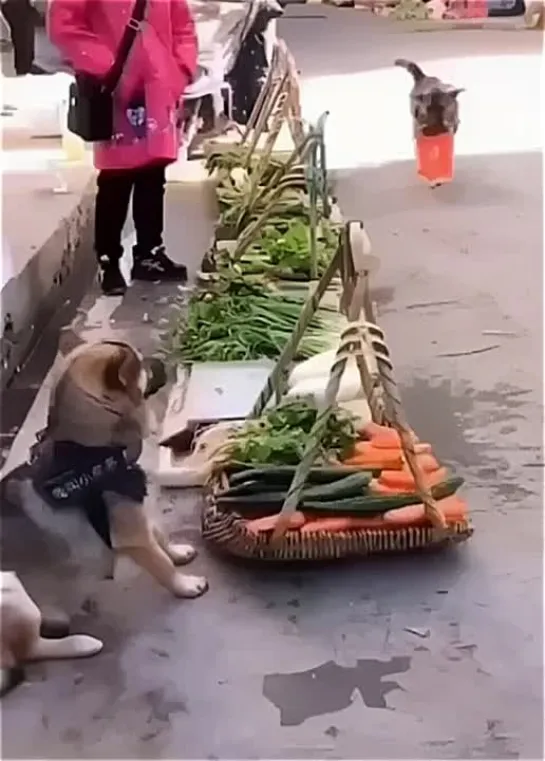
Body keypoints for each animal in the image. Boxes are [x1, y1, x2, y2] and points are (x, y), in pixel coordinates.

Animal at [7, 342, 209, 604]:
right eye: (141, 365)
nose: (162, 361)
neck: (94, 449)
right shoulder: (135, 536)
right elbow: (162, 563)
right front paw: (184, 585)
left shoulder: (138, 512)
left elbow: (160, 536)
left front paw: (176, 552)